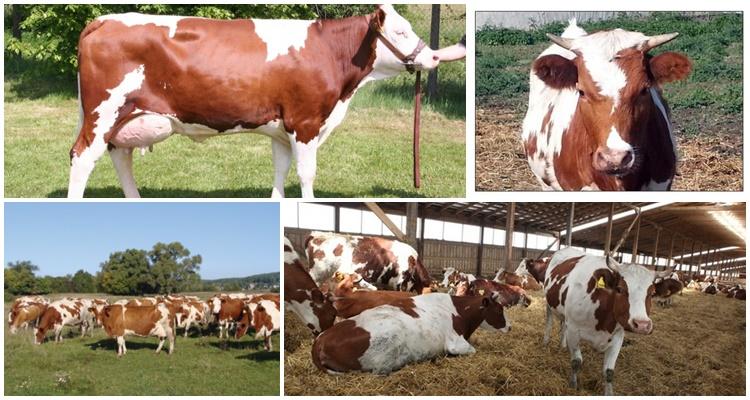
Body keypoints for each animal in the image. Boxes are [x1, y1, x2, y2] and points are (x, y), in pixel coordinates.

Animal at [67, 5, 440, 199]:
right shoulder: (306, 122)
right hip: (103, 113)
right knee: (82, 158)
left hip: (122, 117)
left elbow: (280, 169)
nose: (434, 57)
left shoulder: (281, 128)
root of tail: (103, 19)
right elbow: (306, 174)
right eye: (402, 32)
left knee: (121, 157)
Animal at [312, 290, 516, 376]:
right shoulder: (456, 343)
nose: (510, 327)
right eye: (499, 310)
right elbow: (472, 350)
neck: (459, 311)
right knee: (380, 371)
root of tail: (320, 340)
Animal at [544, 248, 672, 396]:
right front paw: (573, 385)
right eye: (620, 289)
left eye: (651, 293)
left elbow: (609, 372)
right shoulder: (574, 330)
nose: (642, 325)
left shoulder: (618, 337)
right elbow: (576, 362)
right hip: (549, 304)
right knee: (549, 321)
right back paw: (546, 341)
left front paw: (609, 393)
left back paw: (563, 345)